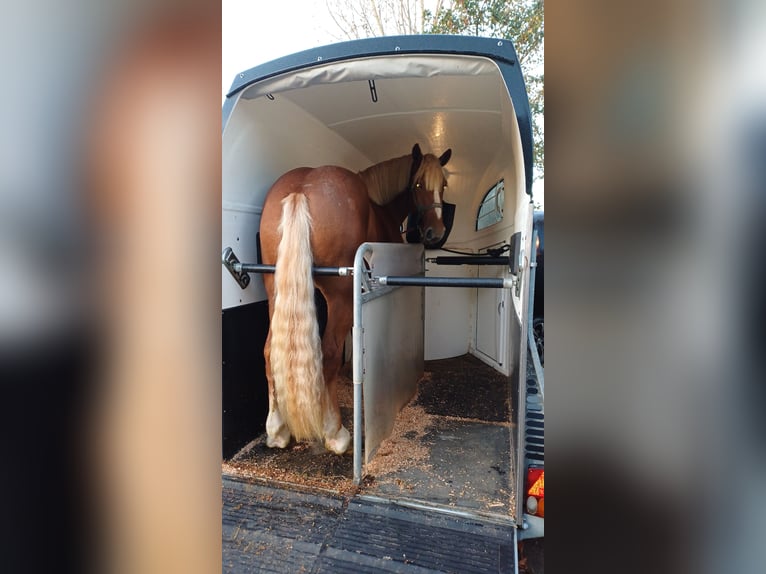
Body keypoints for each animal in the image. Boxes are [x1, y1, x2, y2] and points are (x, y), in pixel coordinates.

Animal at [260, 143, 450, 454]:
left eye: (443, 185)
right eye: (418, 184)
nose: (436, 233)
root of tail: (301, 190)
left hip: (274, 291)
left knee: (267, 351)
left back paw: (277, 430)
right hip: (339, 297)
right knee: (328, 355)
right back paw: (335, 433)